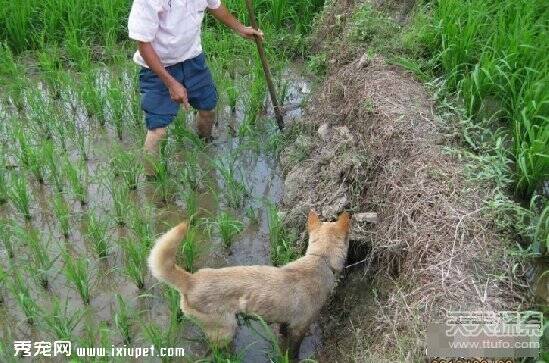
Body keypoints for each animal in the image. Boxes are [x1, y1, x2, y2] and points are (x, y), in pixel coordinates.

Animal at [148, 210, 348, 358]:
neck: (320, 260)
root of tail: (191, 280)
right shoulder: (300, 327)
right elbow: (292, 352)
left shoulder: (286, 322)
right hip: (225, 329)